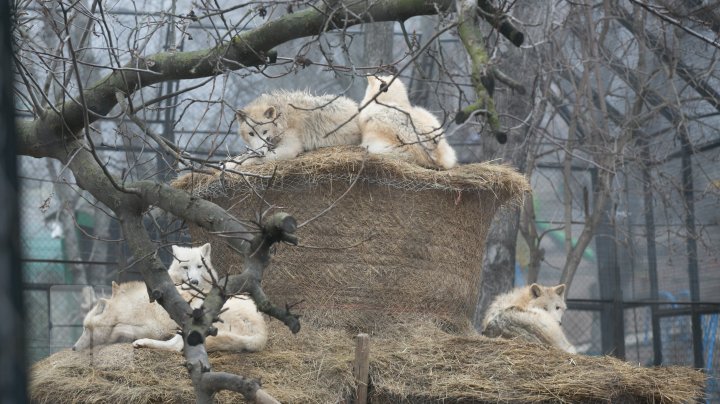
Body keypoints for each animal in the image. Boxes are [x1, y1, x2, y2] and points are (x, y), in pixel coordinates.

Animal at [71, 243, 268, 354]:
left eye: (85, 329)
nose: (73, 348)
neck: (133, 307)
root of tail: (262, 334)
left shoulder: (155, 327)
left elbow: (121, 329)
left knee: (176, 347)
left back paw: (142, 343)